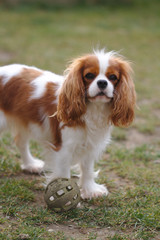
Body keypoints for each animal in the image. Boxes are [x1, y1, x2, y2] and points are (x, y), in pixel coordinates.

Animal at [0, 50, 136, 199]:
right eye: (89, 75)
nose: (102, 83)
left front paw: (90, 190)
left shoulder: (90, 145)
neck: (94, 109)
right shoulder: (64, 149)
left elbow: (87, 169)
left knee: (21, 142)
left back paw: (30, 164)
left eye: (112, 77)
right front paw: (64, 195)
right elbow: (64, 174)